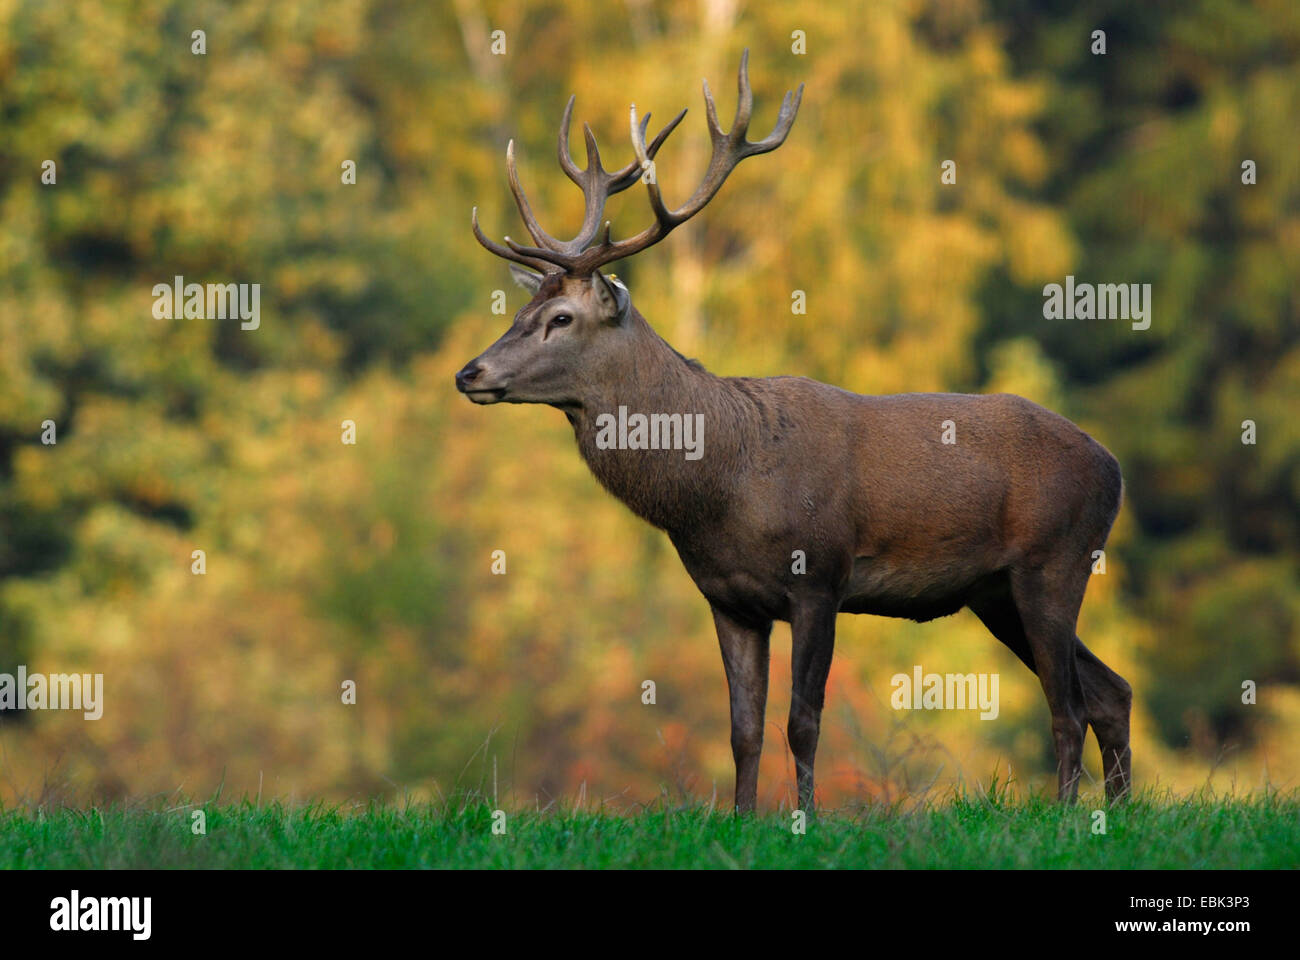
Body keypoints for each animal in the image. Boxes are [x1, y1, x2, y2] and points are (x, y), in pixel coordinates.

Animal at [454, 50, 1128, 806]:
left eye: (561, 318)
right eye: (520, 310)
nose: (470, 373)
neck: (722, 486)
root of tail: (1113, 465)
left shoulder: (821, 577)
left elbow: (803, 722)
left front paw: (805, 817)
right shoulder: (729, 600)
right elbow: (742, 730)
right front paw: (742, 819)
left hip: (1055, 560)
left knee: (1068, 706)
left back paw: (1070, 814)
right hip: (995, 592)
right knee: (1112, 692)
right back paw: (1118, 809)